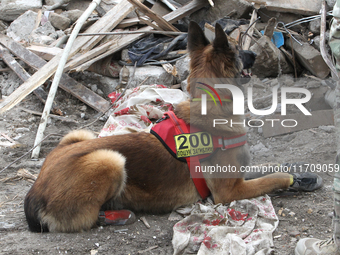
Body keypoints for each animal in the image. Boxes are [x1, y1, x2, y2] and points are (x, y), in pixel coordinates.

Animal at [23, 21, 290, 233]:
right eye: (239, 51)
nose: (254, 54)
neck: (210, 103)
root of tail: (34, 193)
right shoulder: (229, 192)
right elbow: (271, 178)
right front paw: (288, 178)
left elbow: (266, 168)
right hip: (109, 160)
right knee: (89, 217)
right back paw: (119, 215)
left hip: (79, 135)